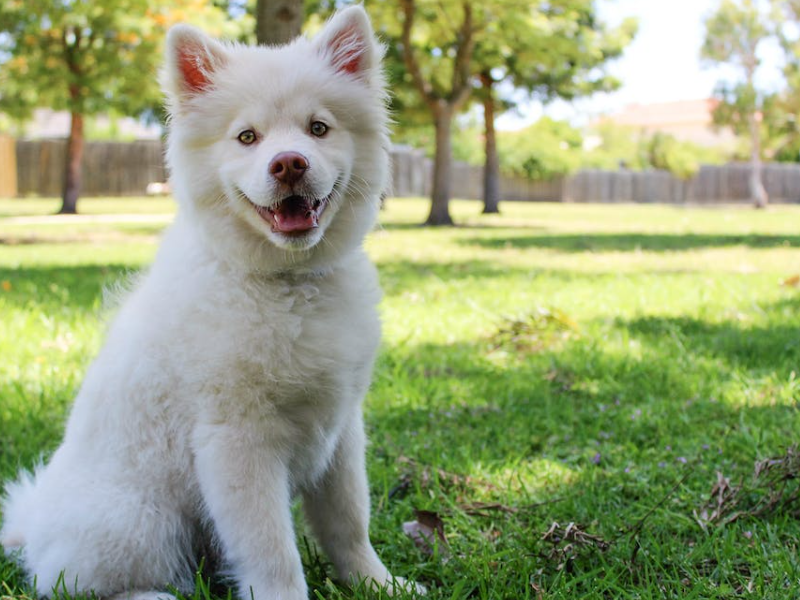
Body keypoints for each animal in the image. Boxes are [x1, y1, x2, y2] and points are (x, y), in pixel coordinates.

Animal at [1, 8, 424, 600]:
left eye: (318, 128)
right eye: (247, 137)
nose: (288, 164)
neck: (287, 282)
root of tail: (32, 526)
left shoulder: (341, 430)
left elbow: (348, 523)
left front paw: (378, 585)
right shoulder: (237, 441)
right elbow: (273, 552)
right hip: (140, 522)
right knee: (73, 581)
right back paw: (153, 595)